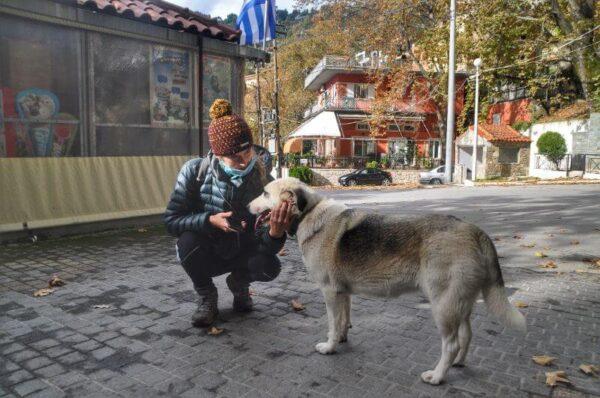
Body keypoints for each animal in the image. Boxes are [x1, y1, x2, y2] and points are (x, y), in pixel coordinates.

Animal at [250, 178, 524, 386]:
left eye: (264, 193)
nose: (245, 204)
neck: (308, 213)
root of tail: (475, 231)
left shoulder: (330, 293)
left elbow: (332, 324)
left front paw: (329, 347)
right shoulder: (343, 293)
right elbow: (343, 321)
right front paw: (341, 339)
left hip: (443, 307)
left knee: (452, 344)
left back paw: (437, 376)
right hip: (460, 304)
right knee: (466, 336)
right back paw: (458, 364)